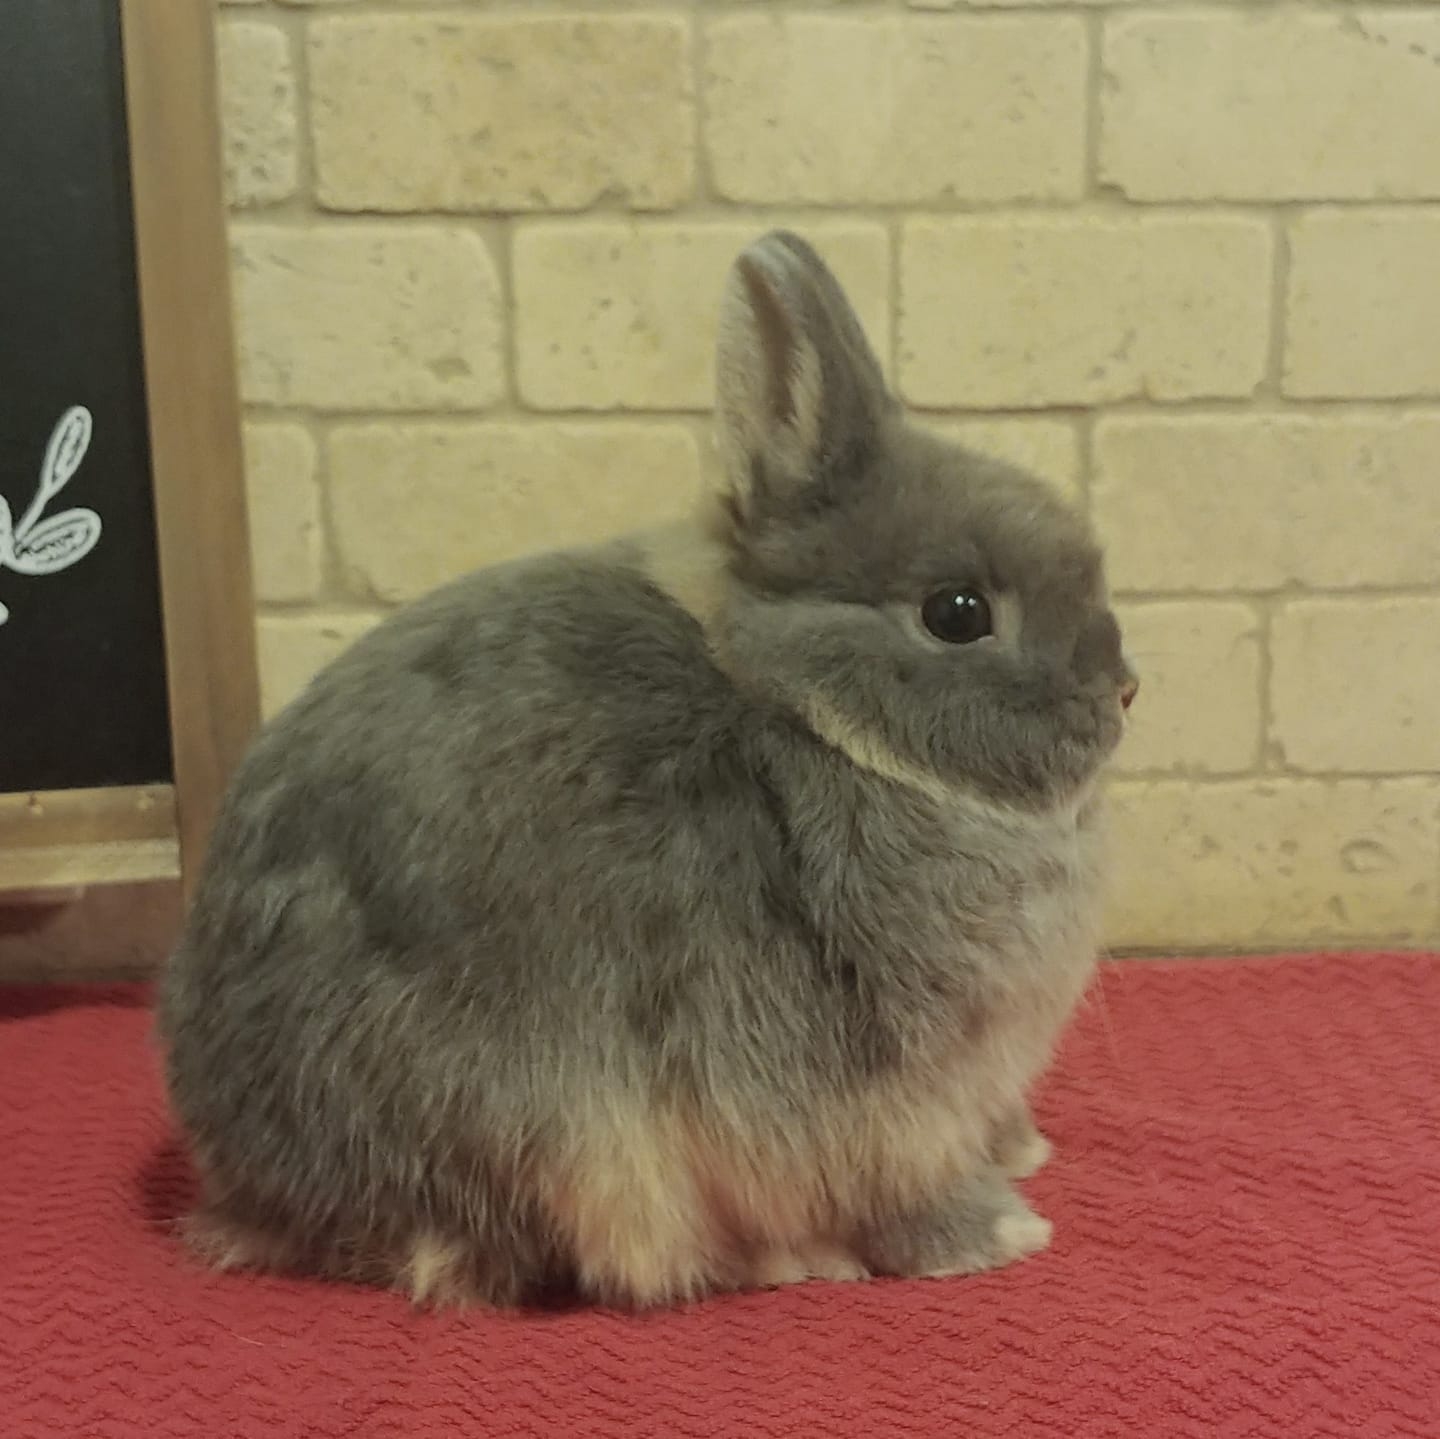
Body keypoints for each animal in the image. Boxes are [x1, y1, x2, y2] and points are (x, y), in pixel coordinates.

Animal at [157, 230, 1137, 1310]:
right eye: (957, 611)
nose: (1125, 691)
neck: (811, 713)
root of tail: (246, 1182)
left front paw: (1023, 1154)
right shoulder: (864, 1106)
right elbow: (892, 1192)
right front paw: (1000, 1232)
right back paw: (794, 1257)